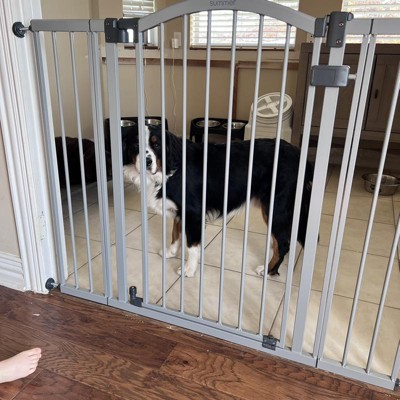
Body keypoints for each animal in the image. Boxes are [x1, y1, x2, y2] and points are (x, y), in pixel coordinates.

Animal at [124, 125, 313, 277]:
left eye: (157, 144)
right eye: (135, 145)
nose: (147, 161)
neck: (169, 169)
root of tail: (299, 154)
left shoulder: (193, 212)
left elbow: (192, 245)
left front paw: (188, 269)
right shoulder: (180, 211)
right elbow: (175, 233)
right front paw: (171, 252)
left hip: (276, 208)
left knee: (283, 243)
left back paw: (268, 270)